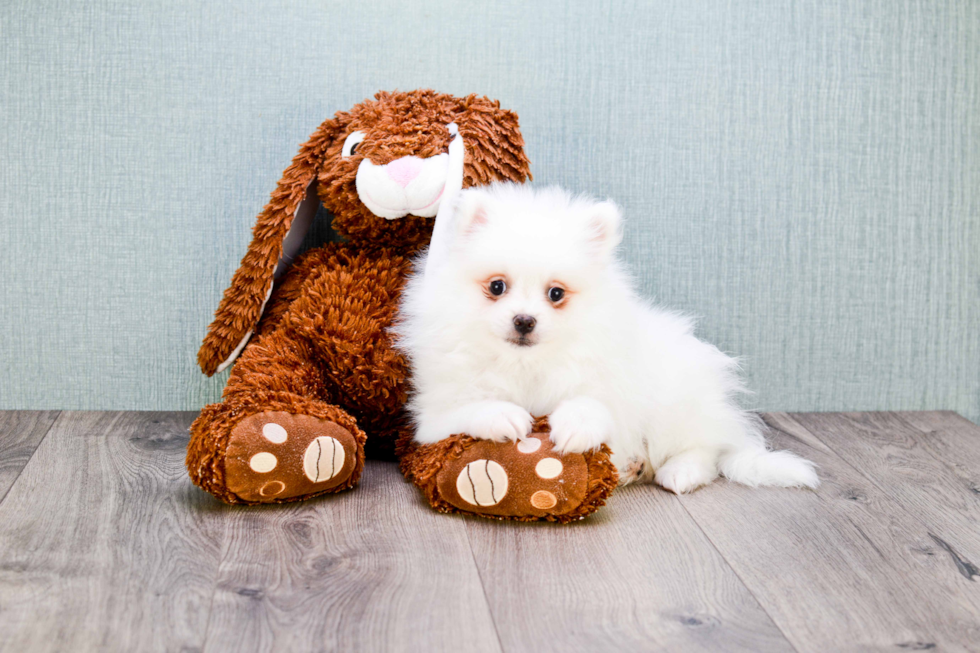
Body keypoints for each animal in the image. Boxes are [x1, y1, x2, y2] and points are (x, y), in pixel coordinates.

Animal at [394, 181, 816, 492]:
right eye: (497, 287)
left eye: (556, 294)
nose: (524, 320)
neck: (526, 364)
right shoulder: (433, 417)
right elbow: (471, 407)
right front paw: (504, 415)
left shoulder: (609, 386)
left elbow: (592, 405)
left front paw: (575, 428)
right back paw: (635, 467)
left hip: (675, 405)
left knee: (706, 450)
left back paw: (678, 472)